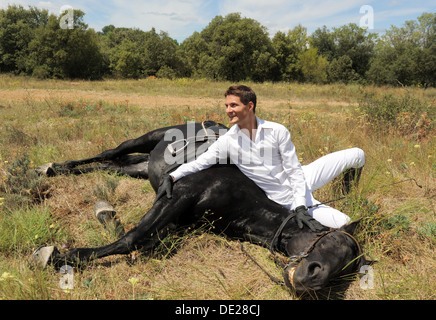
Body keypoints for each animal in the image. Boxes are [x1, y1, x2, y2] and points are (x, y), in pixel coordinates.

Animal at [34, 121, 372, 296]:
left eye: (344, 270)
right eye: (330, 239)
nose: (312, 278)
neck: (241, 196)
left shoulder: (177, 222)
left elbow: (146, 240)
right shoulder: (176, 195)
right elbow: (132, 238)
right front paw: (56, 255)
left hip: (140, 169)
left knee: (112, 166)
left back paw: (55, 171)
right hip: (146, 139)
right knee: (109, 153)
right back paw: (49, 167)